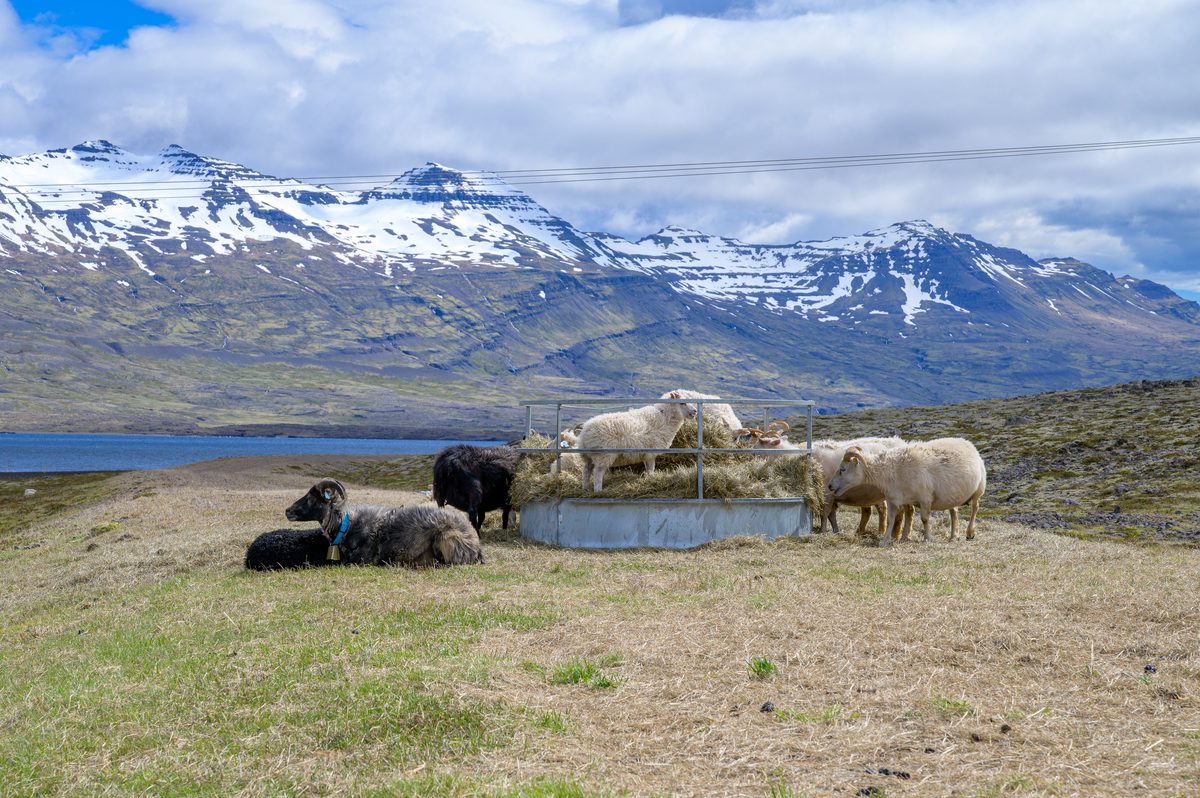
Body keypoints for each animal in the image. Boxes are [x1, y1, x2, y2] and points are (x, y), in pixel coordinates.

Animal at [828, 437, 986, 546]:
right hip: (951, 496)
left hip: (979, 489)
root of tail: (968, 443)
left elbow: (925, 519)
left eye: (842, 469)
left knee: (975, 508)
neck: (891, 469)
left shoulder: (925, 498)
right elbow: (890, 520)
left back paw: (970, 533)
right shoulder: (893, 499)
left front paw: (927, 538)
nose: (829, 486)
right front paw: (885, 541)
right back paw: (954, 536)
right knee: (954, 512)